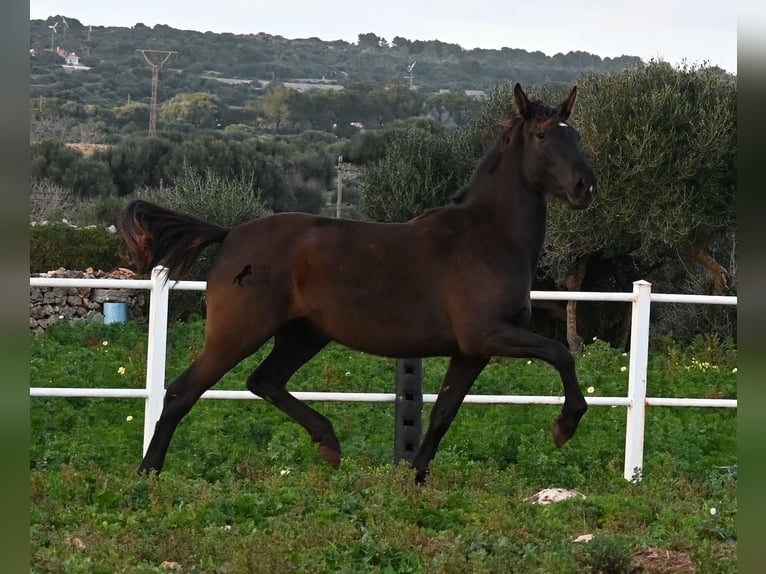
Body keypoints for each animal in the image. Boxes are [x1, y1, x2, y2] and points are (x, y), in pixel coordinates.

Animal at [120, 82, 600, 486]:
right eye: (542, 136)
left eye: (575, 136)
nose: (585, 188)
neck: (489, 237)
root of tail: (230, 234)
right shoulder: (489, 334)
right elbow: (561, 354)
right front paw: (565, 426)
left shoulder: (472, 351)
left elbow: (444, 412)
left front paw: (414, 479)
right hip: (237, 333)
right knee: (182, 392)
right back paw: (147, 475)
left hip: (303, 335)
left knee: (264, 382)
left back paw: (329, 444)